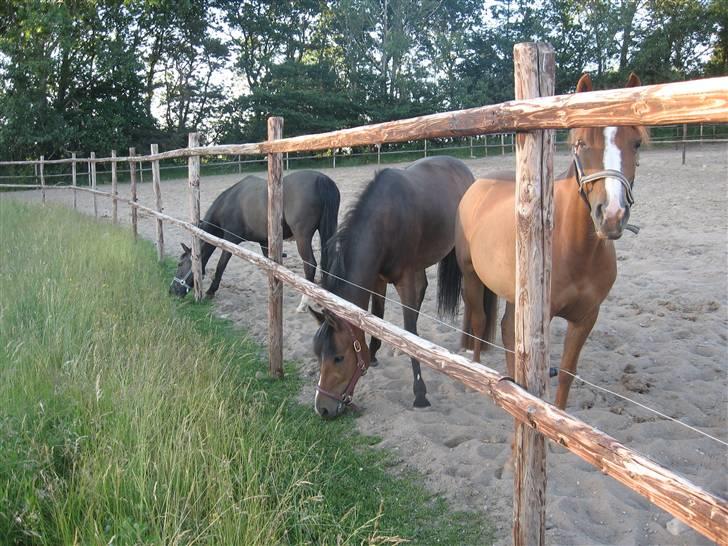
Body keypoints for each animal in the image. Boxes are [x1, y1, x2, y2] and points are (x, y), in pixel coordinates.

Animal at [170, 169, 338, 306]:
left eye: (180, 264)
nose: (172, 290)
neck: (229, 202)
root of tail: (321, 179)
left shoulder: (230, 240)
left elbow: (221, 266)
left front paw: (211, 291)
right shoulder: (265, 242)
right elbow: (273, 265)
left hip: (302, 237)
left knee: (310, 264)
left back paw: (303, 303)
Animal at [310, 154, 474, 416]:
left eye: (339, 358)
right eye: (317, 354)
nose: (322, 409)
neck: (385, 221)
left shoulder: (404, 280)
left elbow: (408, 325)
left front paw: (420, 393)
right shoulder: (378, 279)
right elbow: (378, 316)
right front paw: (376, 353)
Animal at [438, 74, 648, 410]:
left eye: (636, 144)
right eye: (581, 144)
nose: (612, 215)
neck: (574, 247)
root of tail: (477, 186)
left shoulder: (586, 318)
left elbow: (566, 373)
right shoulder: (540, 320)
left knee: (505, 331)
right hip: (471, 276)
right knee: (480, 320)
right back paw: (476, 370)